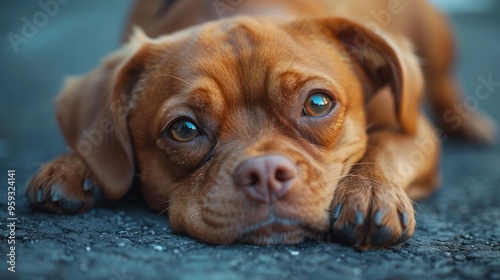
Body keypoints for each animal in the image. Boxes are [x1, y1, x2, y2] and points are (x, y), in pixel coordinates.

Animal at [27, 1, 496, 248]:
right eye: (184, 129)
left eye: (318, 103)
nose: (266, 172)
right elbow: (96, 138)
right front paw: (72, 165)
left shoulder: (414, 131)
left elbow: (381, 147)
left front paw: (370, 190)